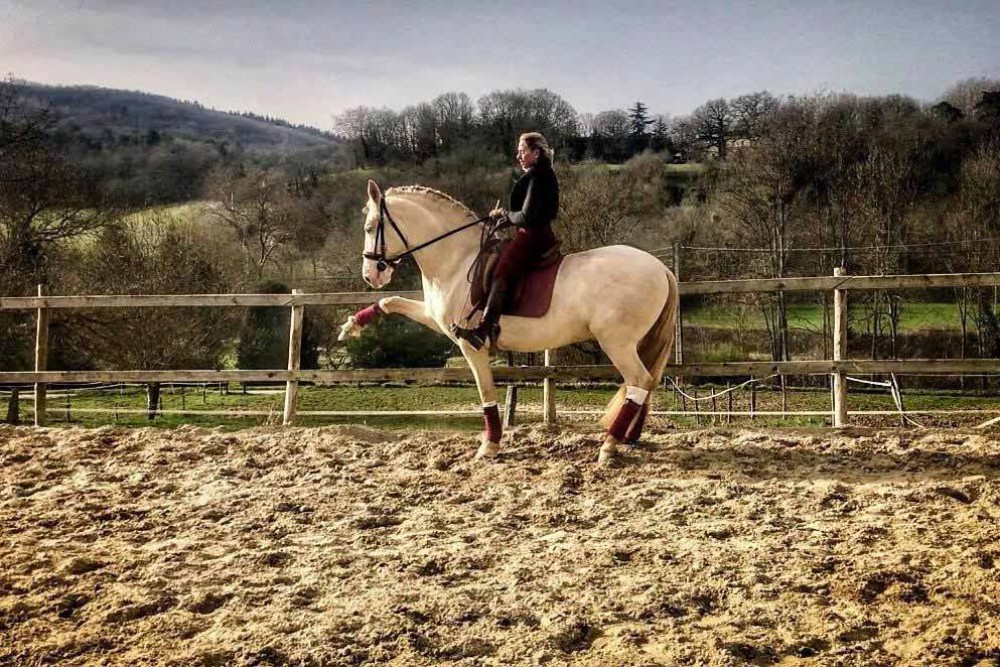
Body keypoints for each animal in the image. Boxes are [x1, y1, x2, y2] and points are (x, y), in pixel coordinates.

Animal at [338, 180, 680, 468]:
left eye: (370, 227)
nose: (371, 276)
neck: (457, 261)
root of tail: (662, 269)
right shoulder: (434, 318)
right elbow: (391, 302)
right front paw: (352, 326)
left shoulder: (469, 344)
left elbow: (486, 393)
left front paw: (489, 446)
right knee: (645, 383)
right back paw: (628, 438)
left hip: (616, 343)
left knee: (640, 381)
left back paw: (610, 446)